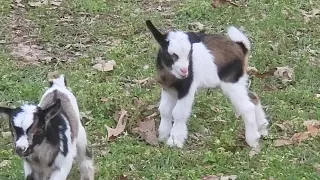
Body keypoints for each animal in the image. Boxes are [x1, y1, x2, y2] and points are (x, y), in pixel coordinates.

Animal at [146, 20, 268, 149]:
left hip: (231, 82)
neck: (172, 76)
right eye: (171, 54)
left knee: (247, 106)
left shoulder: (187, 88)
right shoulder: (168, 89)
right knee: (253, 97)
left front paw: (174, 141)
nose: (184, 71)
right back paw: (262, 128)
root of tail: (241, 46)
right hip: (238, 80)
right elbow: (164, 110)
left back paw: (253, 140)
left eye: (190, 53)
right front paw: (163, 136)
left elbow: (179, 113)